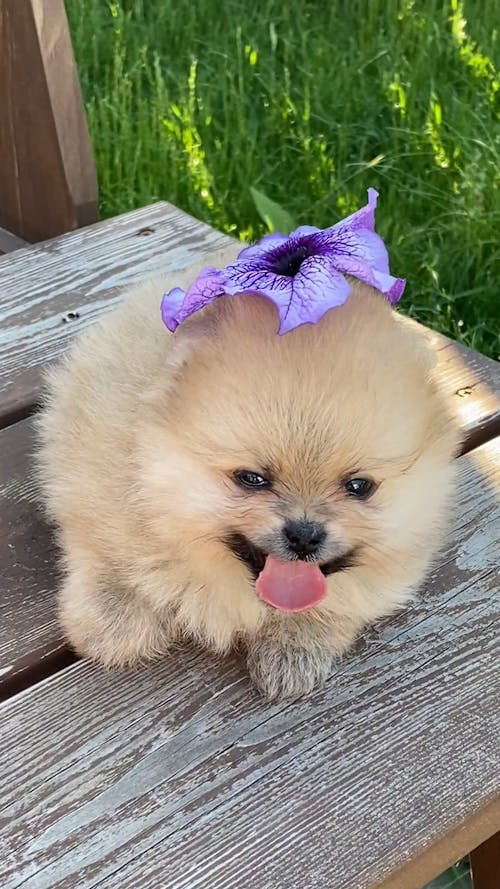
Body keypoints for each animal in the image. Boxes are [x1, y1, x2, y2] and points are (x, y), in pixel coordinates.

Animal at [37, 251, 460, 700]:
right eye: (252, 478)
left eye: (359, 486)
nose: (304, 535)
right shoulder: (92, 469)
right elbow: (105, 544)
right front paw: (117, 607)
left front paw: (295, 643)